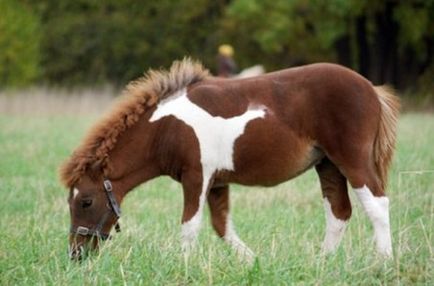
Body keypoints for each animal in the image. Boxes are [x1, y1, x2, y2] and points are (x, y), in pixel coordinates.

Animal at [62, 58, 400, 262]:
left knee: (377, 204)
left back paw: (383, 262)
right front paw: (253, 262)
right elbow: (221, 225)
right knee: (338, 212)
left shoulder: (197, 176)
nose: (76, 253)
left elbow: (190, 224)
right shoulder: (217, 182)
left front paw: (184, 265)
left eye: (86, 202)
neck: (166, 128)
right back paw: (322, 262)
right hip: (327, 164)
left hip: (351, 159)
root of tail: (371, 89)